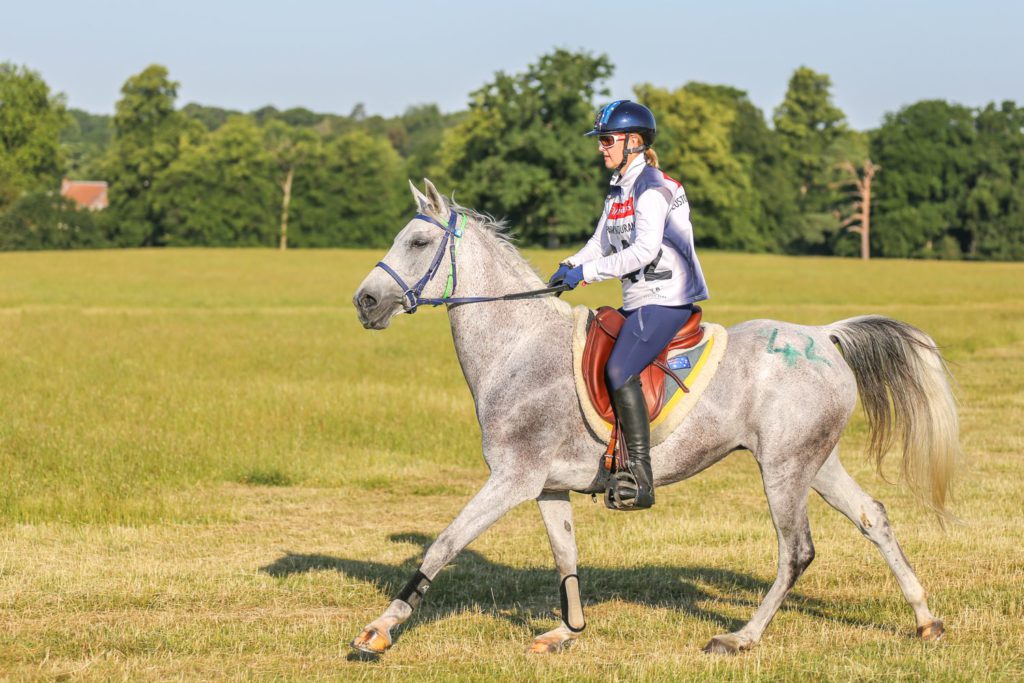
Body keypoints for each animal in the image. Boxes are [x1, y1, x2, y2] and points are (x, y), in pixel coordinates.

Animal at [349, 179, 958, 656]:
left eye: (419, 241)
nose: (365, 301)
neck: (517, 346)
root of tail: (823, 336)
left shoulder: (511, 479)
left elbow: (444, 544)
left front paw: (379, 630)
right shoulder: (546, 486)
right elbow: (565, 555)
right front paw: (567, 631)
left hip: (783, 470)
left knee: (796, 551)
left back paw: (740, 638)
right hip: (816, 461)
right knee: (873, 517)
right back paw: (925, 620)